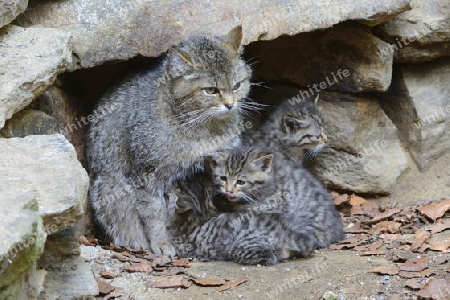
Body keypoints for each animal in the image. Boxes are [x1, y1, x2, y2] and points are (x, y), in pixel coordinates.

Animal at [85, 26, 256, 255]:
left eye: (237, 85)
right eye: (211, 90)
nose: (230, 104)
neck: (202, 129)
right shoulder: (147, 175)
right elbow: (154, 213)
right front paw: (161, 243)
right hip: (108, 187)